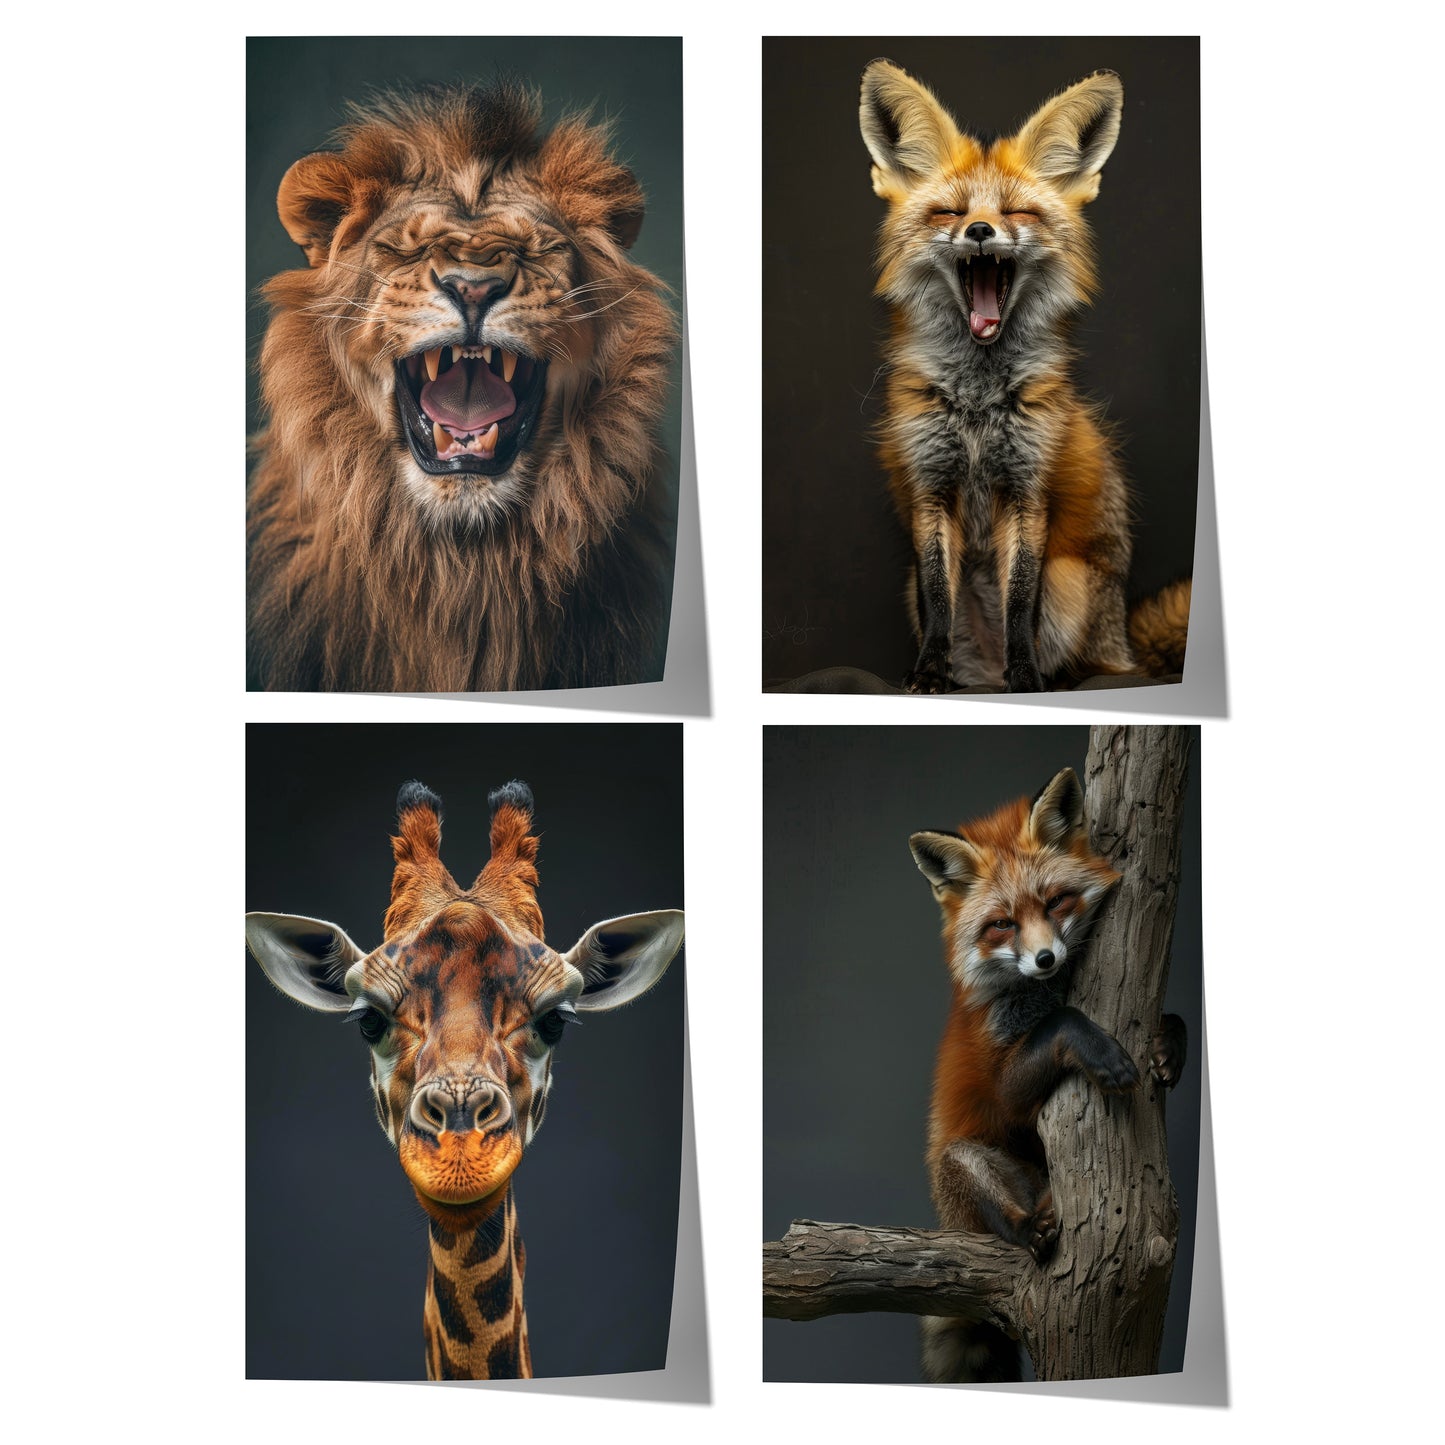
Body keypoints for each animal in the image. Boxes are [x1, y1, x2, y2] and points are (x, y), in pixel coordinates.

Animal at [858, 61, 1191, 693]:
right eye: (951, 213)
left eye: (1017, 213)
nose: (980, 232)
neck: (977, 403)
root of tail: (1124, 642)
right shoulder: (930, 485)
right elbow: (939, 597)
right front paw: (929, 674)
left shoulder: (1028, 487)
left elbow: (1018, 599)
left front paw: (1026, 677)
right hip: (915, 589)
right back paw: (971, 679)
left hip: (1071, 586)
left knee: (1085, 664)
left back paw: (1044, 675)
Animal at [908, 767, 1187, 1382]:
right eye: (1002, 925)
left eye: (1056, 901)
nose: (1044, 961)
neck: (1041, 992)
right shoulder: (1003, 1083)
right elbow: (1061, 1024)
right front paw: (1100, 1051)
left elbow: (1173, 1021)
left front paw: (1167, 1047)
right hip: (962, 1166)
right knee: (1015, 1226)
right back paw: (1032, 1228)